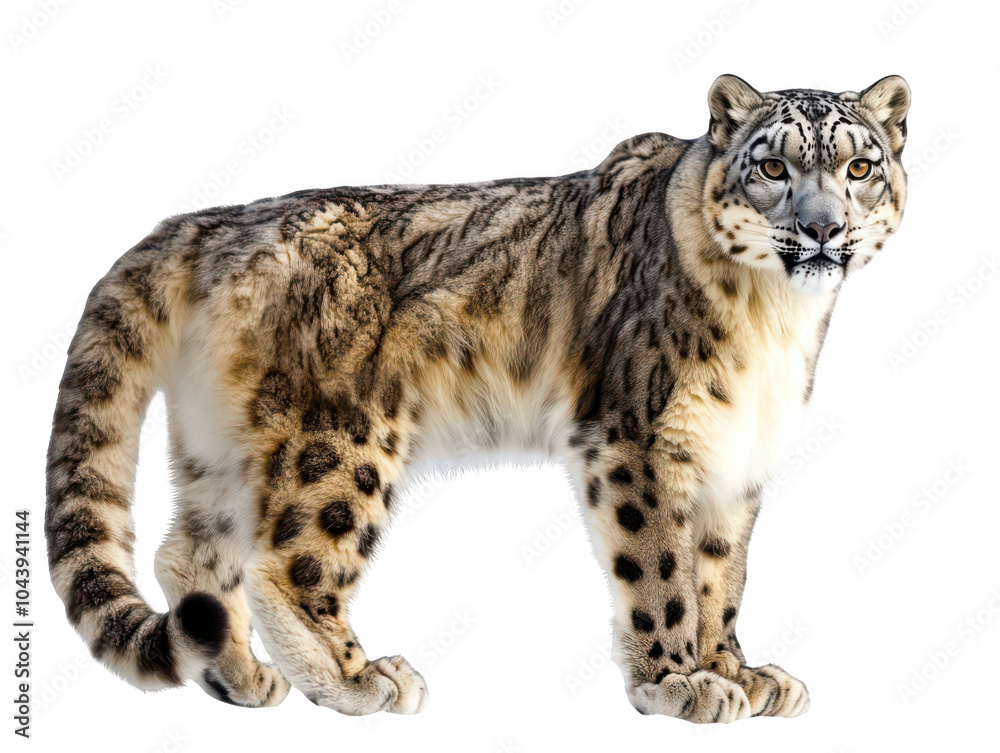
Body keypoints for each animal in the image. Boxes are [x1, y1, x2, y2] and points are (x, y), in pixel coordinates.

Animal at [45, 74, 909, 723]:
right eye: (774, 168)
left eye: (859, 168)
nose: (823, 228)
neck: (777, 319)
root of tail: (213, 220)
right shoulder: (636, 437)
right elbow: (662, 568)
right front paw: (678, 681)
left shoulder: (737, 453)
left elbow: (719, 575)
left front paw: (738, 671)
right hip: (344, 438)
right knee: (285, 562)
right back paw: (360, 680)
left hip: (220, 446)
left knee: (190, 551)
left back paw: (240, 679)